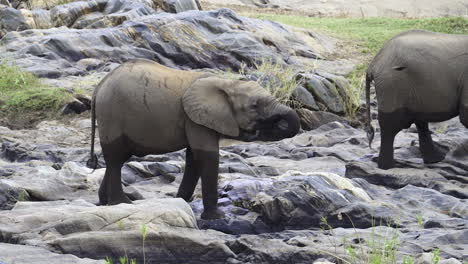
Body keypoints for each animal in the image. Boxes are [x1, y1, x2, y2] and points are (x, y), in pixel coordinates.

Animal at [87, 58, 300, 220]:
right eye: (254, 106)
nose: (255, 131)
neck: (225, 83)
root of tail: (99, 87)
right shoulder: (196, 119)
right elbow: (207, 156)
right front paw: (217, 218)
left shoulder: (196, 119)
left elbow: (194, 158)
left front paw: (180, 201)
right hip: (112, 115)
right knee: (115, 158)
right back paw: (122, 203)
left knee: (119, 158)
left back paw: (104, 202)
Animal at [366, 28, 468, 169]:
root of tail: (373, 64)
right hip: (392, 85)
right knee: (390, 124)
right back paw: (387, 167)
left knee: (419, 120)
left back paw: (436, 159)